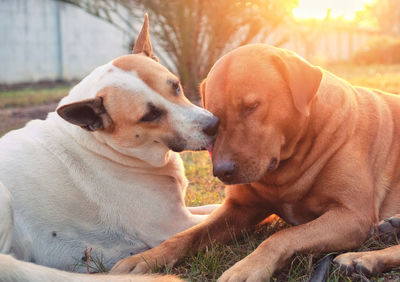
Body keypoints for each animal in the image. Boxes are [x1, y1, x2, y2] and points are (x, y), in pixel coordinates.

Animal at [0, 16, 219, 282]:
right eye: (150, 115)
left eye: (176, 86)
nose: (215, 125)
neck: (103, 148)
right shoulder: (176, 224)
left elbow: (216, 206)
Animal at [111, 44, 400, 280]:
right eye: (215, 117)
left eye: (251, 106)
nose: (221, 171)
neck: (288, 165)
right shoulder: (240, 208)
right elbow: (186, 235)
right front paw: (147, 257)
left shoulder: (353, 216)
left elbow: (281, 236)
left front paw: (247, 267)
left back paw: (362, 258)